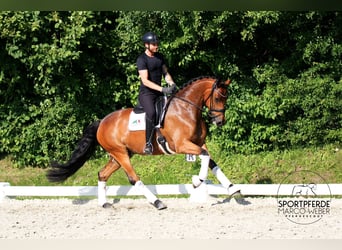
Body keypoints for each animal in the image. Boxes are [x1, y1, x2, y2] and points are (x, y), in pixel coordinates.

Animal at [46, 75, 242, 209]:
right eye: (218, 98)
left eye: (225, 98)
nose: (219, 121)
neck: (186, 109)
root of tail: (101, 122)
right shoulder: (181, 145)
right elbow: (205, 157)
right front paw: (197, 181)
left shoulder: (199, 143)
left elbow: (211, 161)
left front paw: (233, 189)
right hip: (120, 153)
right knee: (133, 178)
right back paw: (157, 202)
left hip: (119, 155)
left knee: (102, 174)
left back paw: (105, 204)